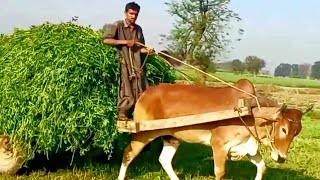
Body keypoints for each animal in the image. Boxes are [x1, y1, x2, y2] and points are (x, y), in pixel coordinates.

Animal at [117, 80, 304, 180]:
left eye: (296, 132)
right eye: (284, 129)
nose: (281, 158)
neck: (250, 113)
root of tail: (145, 93)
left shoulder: (247, 147)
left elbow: (262, 167)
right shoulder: (219, 146)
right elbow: (220, 172)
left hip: (172, 137)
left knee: (164, 159)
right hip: (143, 134)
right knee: (127, 154)